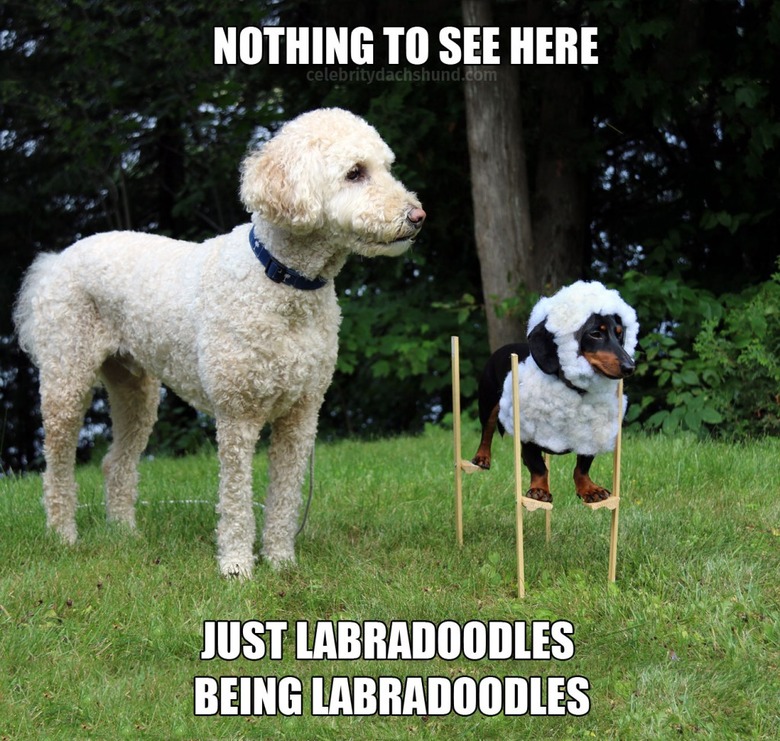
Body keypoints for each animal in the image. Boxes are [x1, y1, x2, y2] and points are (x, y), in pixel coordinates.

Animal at [13, 107, 426, 576]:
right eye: (355, 172)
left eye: (387, 167)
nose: (418, 216)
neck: (281, 281)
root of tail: (56, 260)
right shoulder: (237, 415)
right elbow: (236, 499)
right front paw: (237, 567)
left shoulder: (301, 416)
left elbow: (285, 497)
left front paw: (281, 562)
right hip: (67, 379)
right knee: (57, 469)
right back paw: (63, 536)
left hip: (136, 392)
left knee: (115, 464)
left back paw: (125, 534)